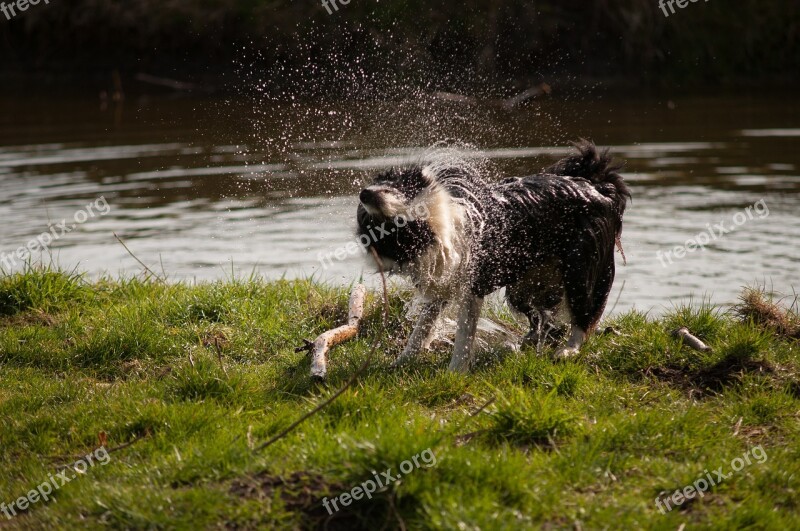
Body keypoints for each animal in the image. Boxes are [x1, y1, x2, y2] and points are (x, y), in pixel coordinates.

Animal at [358, 141, 632, 374]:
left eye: (389, 188)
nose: (364, 193)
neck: (432, 225)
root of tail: (597, 185)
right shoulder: (443, 282)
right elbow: (422, 327)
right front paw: (401, 361)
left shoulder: (472, 283)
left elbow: (463, 333)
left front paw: (455, 373)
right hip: (524, 286)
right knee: (541, 315)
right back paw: (531, 341)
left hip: (581, 265)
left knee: (584, 313)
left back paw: (567, 350)